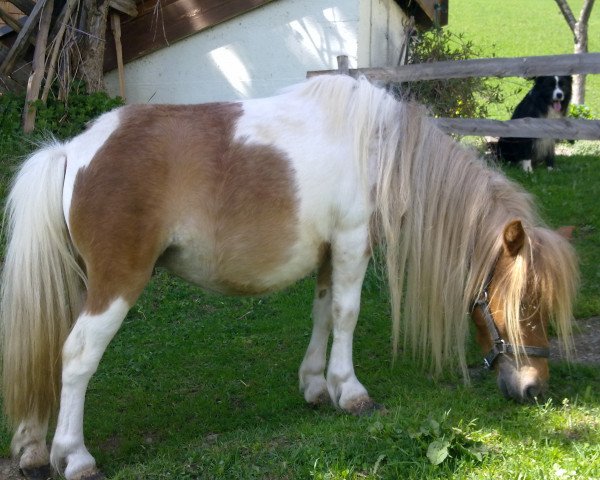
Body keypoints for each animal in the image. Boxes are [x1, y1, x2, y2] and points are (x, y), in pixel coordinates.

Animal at [2, 77, 580, 478]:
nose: (535, 388)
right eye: (524, 303)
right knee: (76, 357)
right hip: (116, 284)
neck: (379, 147)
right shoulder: (351, 242)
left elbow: (323, 313)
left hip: (79, 282)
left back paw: (31, 449)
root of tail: (72, 150)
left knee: (50, 349)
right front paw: (351, 392)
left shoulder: (329, 254)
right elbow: (346, 314)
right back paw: (74, 457)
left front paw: (317, 386)